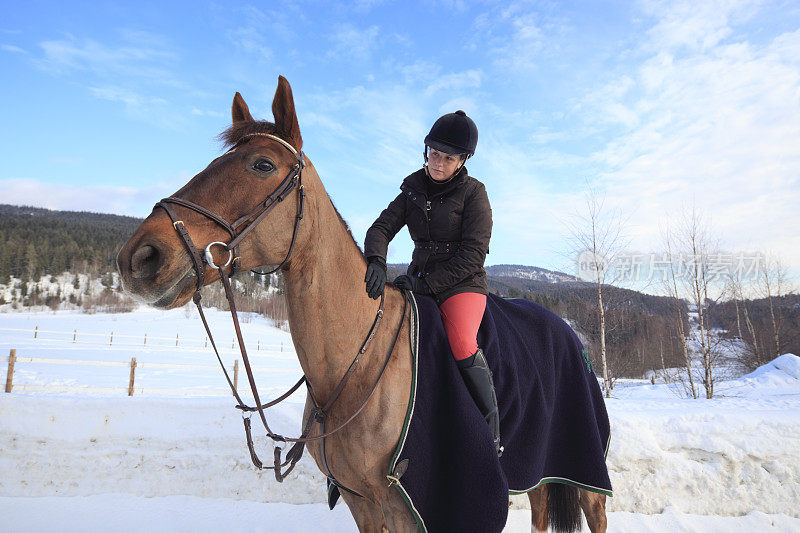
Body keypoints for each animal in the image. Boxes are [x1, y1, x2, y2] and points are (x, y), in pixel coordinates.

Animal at [117, 76, 608, 532]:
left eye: (262, 165)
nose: (140, 257)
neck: (356, 362)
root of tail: (571, 333)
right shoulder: (362, 502)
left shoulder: (411, 506)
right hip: (537, 468)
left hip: (582, 469)